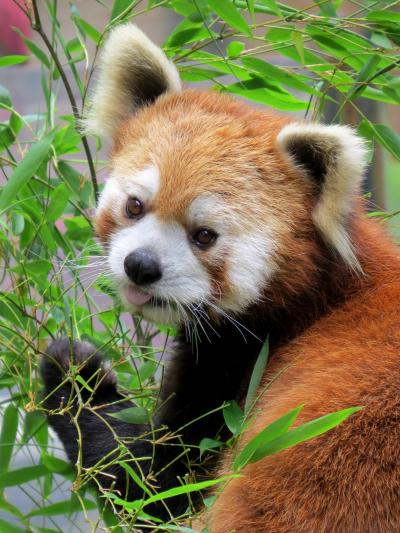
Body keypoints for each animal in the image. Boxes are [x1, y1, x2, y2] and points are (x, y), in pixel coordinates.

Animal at [40, 23, 400, 528]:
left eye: (204, 235)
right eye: (134, 206)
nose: (141, 266)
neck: (316, 299)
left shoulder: (242, 371)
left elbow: (151, 483)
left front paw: (75, 375)